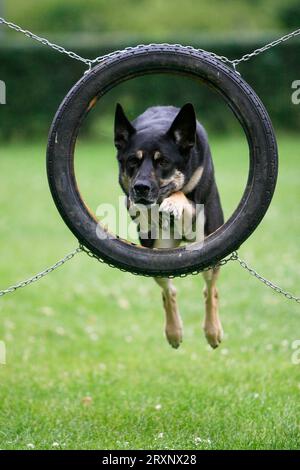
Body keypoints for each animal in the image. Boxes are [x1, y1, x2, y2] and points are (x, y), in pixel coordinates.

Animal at [113, 104, 224, 350]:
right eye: (132, 162)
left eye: (163, 162)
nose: (141, 188)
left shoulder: (196, 200)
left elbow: (181, 193)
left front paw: (173, 202)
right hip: (160, 251)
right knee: (168, 291)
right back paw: (174, 331)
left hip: (207, 243)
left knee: (210, 290)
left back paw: (213, 330)